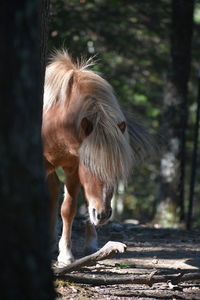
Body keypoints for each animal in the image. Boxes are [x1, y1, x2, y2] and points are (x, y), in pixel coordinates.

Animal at [41, 50, 152, 266]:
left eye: (116, 170)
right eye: (88, 164)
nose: (103, 215)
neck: (57, 122)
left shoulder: (73, 168)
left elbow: (68, 209)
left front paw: (65, 254)